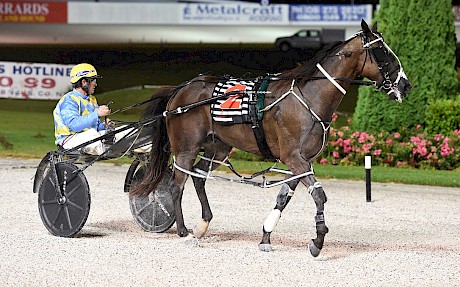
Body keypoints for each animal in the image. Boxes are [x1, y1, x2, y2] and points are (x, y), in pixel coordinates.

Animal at [135, 20, 412, 258]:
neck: (309, 97)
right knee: (177, 183)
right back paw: (183, 230)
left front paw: (266, 237)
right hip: (186, 147)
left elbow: (283, 197)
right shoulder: (295, 158)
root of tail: (179, 89)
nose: (406, 86)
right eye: (382, 51)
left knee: (199, 176)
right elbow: (319, 196)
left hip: (219, 147)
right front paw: (318, 241)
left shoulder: (301, 163)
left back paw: (202, 225)